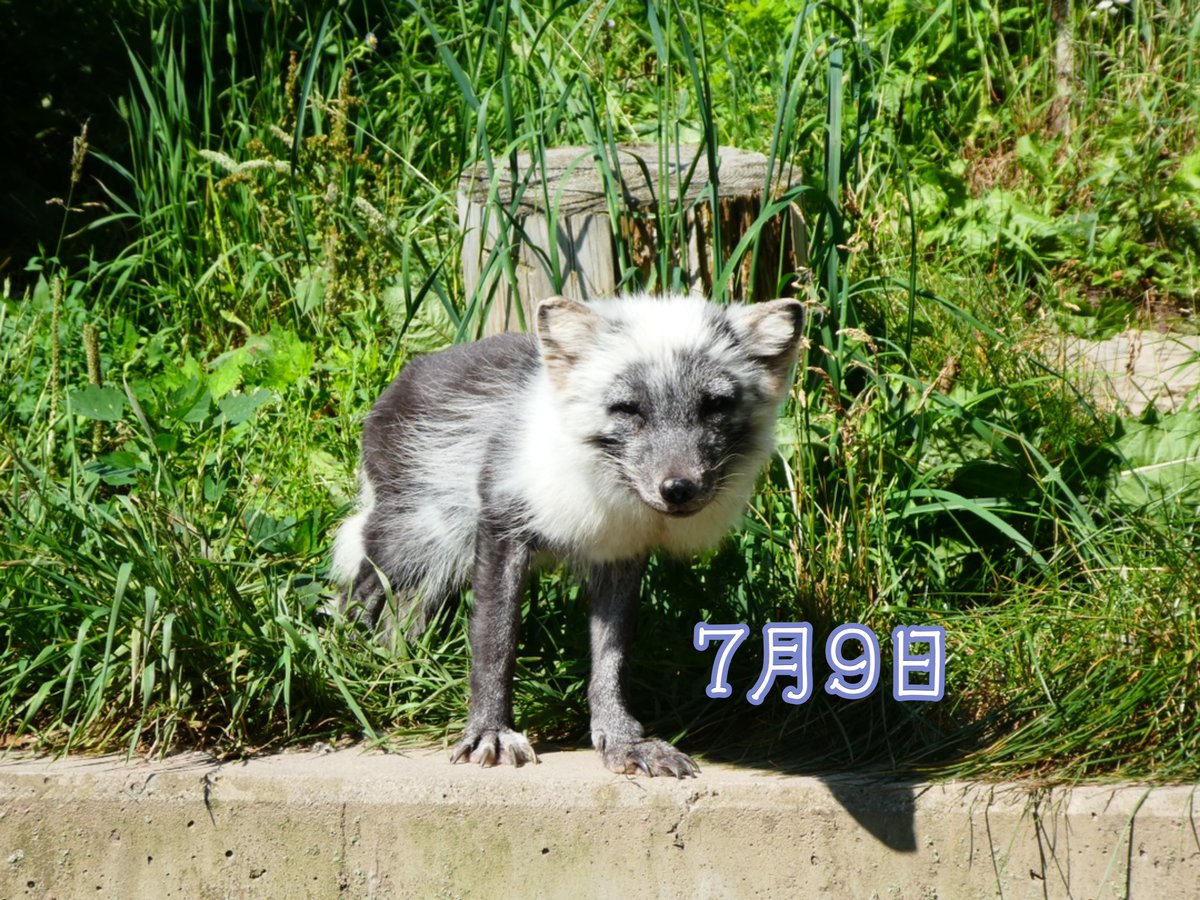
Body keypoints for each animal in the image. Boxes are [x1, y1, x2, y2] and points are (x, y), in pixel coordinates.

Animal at [331, 292, 806, 777]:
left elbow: (612, 660)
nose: (678, 489)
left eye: (715, 405)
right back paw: (355, 672)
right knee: (358, 596)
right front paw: (489, 733)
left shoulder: (620, 552)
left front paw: (623, 740)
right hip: (417, 539)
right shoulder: (502, 529)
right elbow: (495, 644)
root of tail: (402, 380)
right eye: (628, 409)